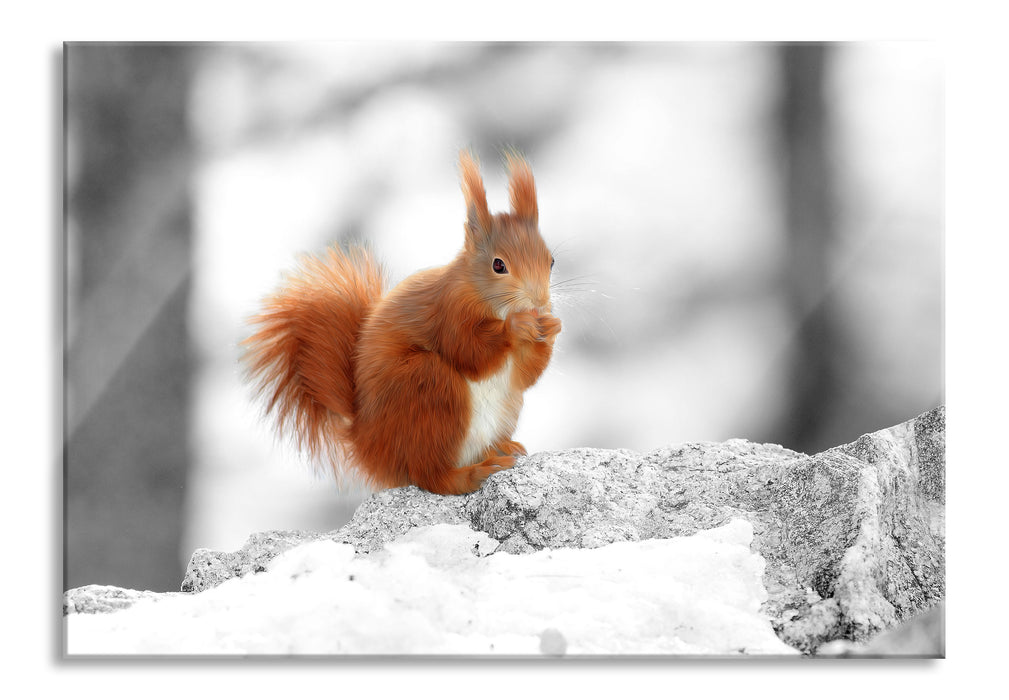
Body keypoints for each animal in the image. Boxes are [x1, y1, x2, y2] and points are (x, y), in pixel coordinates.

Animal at [241, 151, 565, 496]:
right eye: (498, 265)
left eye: (551, 261)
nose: (539, 302)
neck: (489, 302)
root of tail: (368, 446)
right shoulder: (448, 312)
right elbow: (469, 352)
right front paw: (516, 326)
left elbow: (525, 376)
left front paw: (552, 327)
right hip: (427, 388)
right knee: (430, 476)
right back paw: (473, 473)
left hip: (503, 407)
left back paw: (501, 448)